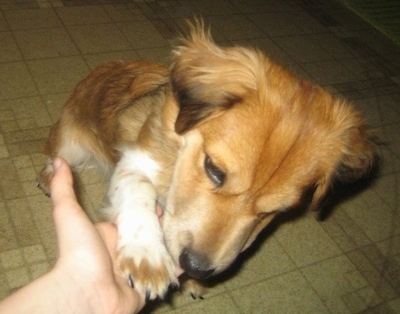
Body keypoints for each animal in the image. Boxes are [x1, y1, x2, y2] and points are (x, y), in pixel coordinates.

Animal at [37, 22, 376, 300]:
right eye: (214, 170)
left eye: (277, 211)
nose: (196, 267)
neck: (177, 158)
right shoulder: (136, 162)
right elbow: (138, 191)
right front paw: (146, 254)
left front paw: (193, 282)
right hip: (69, 141)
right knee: (55, 154)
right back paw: (50, 176)